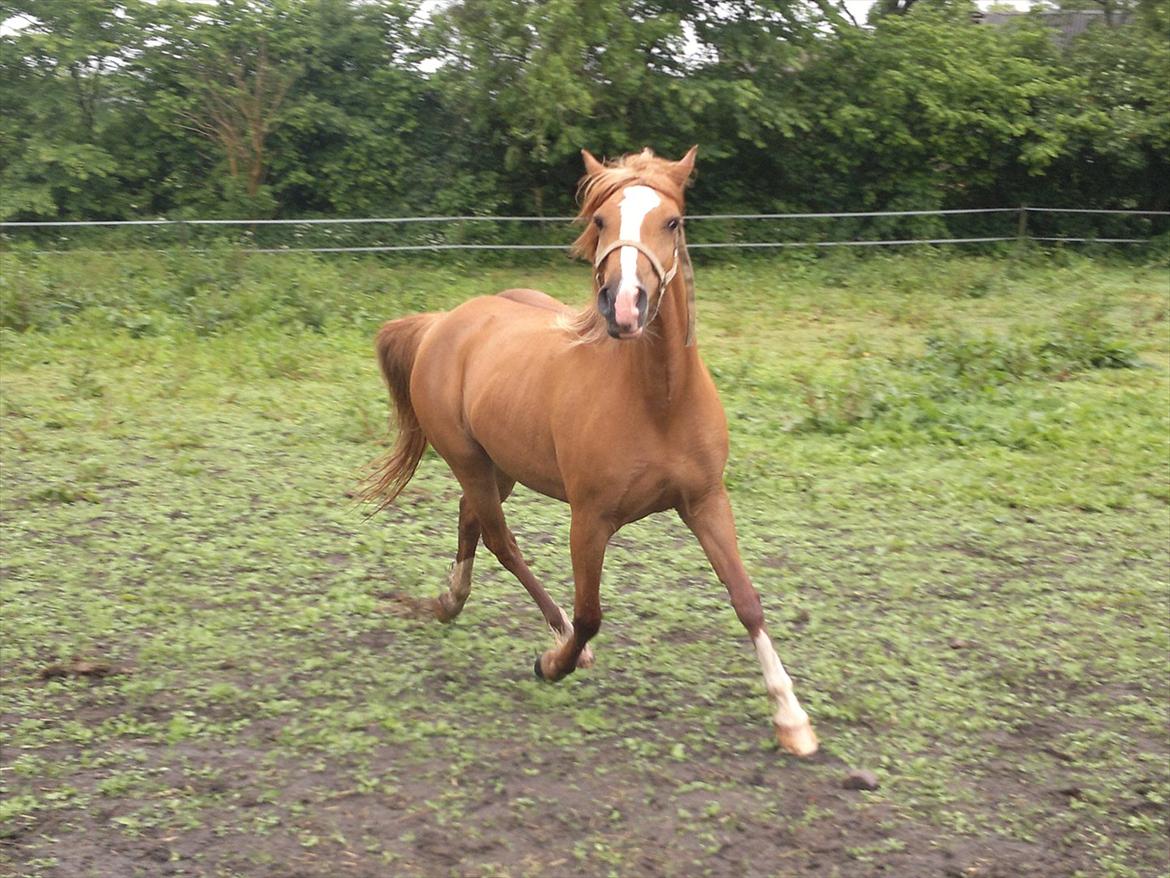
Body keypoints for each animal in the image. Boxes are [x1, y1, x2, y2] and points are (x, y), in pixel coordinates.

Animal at [365, 148, 814, 753]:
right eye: (601, 220)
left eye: (672, 222)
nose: (623, 307)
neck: (659, 402)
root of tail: (443, 323)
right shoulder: (590, 519)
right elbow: (591, 614)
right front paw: (554, 663)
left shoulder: (706, 501)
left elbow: (747, 599)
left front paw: (791, 718)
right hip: (468, 460)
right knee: (502, 541)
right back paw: (548, 634)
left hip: (501, 464)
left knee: (470, 521)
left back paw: (451, 600)